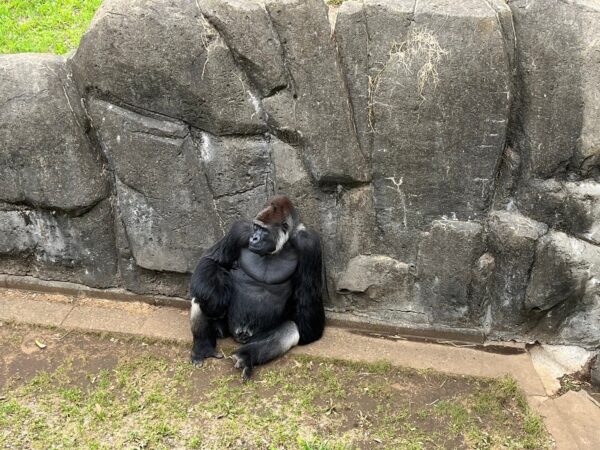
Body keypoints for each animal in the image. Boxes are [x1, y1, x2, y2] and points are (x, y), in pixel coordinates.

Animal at [190, 195, 326, 378]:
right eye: (255, 227)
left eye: (264, 230)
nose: (254, 238)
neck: (281, 245)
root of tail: (239, 336)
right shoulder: (240, 230)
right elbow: (212, 260)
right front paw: (214, 298)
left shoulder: (309, 244)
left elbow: (308, 294)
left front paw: (308, 332)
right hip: (224, 329)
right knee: (202, 290)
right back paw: (203, 345)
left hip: (253, 337)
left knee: (290, 329)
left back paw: (246, 356)